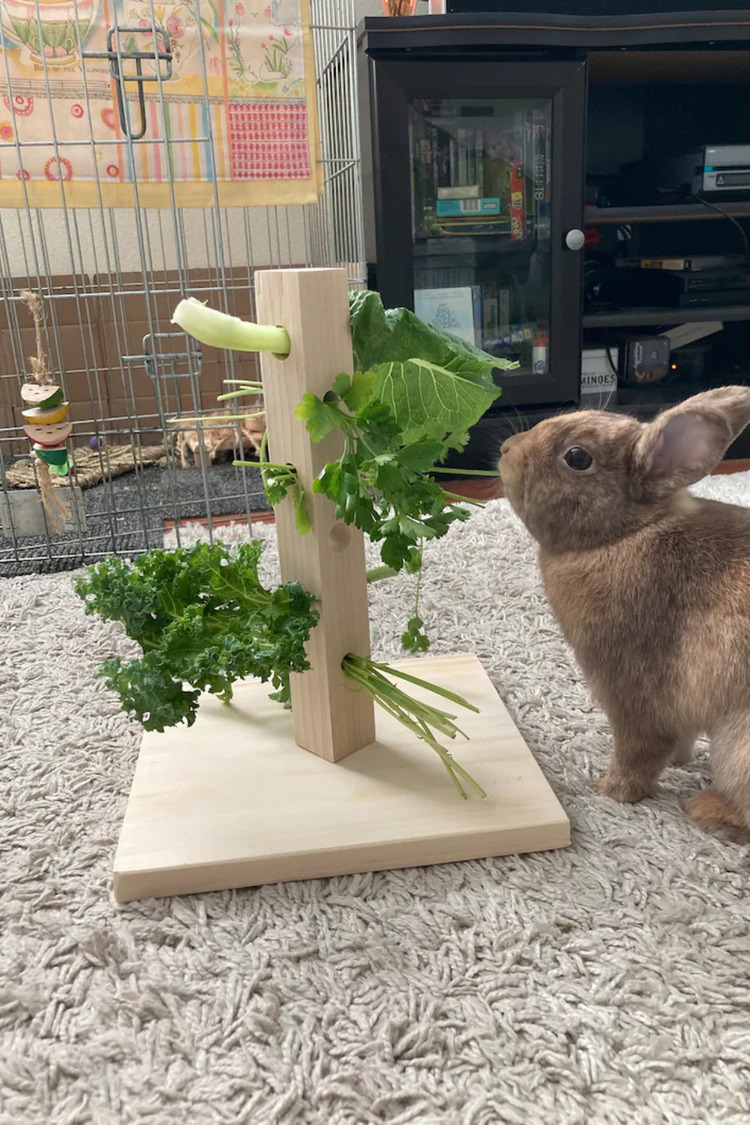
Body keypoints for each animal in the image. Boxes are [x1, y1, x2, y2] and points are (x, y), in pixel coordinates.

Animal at [498, 385, 750, 842]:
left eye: (577, 457)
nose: (507, 449)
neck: (623, 533)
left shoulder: (631, 691)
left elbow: (641, 749)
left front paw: (609, 792)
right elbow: (679, 739)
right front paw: (679, 762)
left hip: (737, 745)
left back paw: (707, 810)